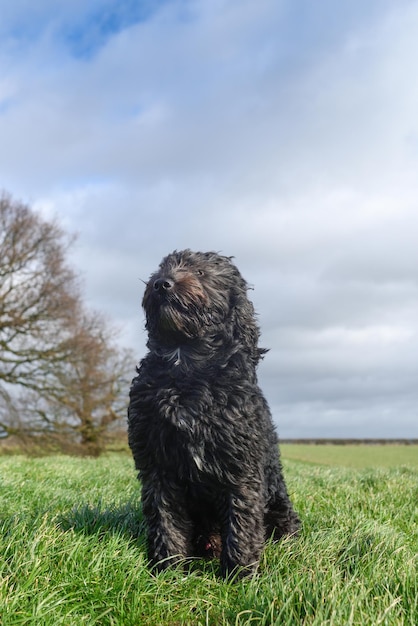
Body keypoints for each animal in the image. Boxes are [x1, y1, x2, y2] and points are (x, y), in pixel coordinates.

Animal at [128, 249, 300, 576]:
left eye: (201, 272)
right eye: (162, 267)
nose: (161, 284)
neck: (186, 364)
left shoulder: (241, 466)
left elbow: (242, 518)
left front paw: (240, 574)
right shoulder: (157, 465)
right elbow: (165, 519)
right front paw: (167, 569)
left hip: (279, 508)